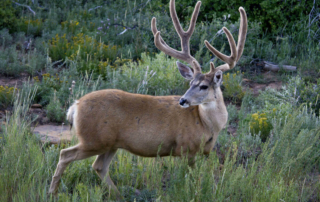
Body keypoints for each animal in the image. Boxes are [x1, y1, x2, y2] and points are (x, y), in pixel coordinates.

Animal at [48, 0, 248, 198]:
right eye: (191, 82)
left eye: (204, 86)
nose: (182, 101)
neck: (207, 125)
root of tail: (75, 106)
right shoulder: (185, 148)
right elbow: (191, 180)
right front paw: (193, 194)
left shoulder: (204, 152)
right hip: (94, 139)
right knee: (65, 154)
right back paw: (52, 192)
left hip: (111, 143)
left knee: (98, 166)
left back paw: (119, 196)